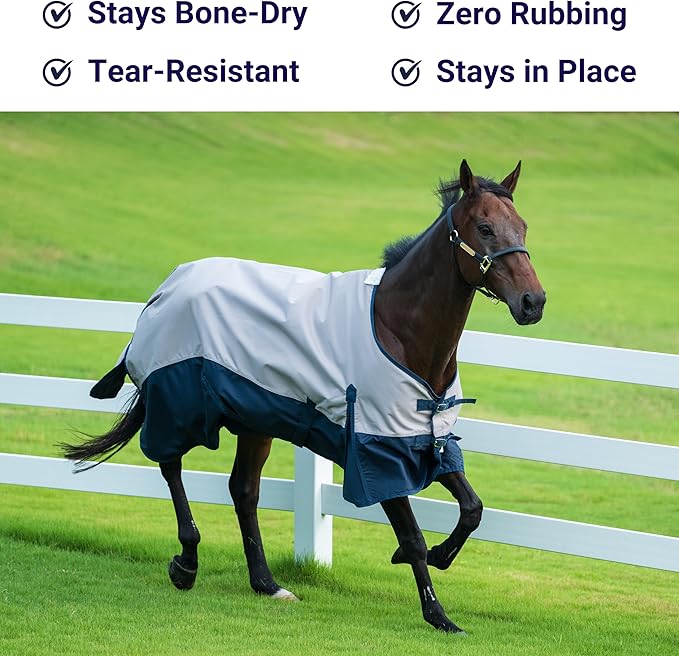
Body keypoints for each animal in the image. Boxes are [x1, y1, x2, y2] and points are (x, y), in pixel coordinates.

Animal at [62, 159, 545, 634]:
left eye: (523, 226)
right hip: (180, 404)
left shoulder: (426, 441)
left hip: (254, 422)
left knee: (243, 491)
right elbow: (412, 537)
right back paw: (187, 562)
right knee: (171, 464)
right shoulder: (376, 453)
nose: (533, 302)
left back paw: (267, 583)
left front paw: (440, 558)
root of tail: (167, 288)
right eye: (485, 227)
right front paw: (438, 613)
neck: (398, 330)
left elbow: (472, 509)